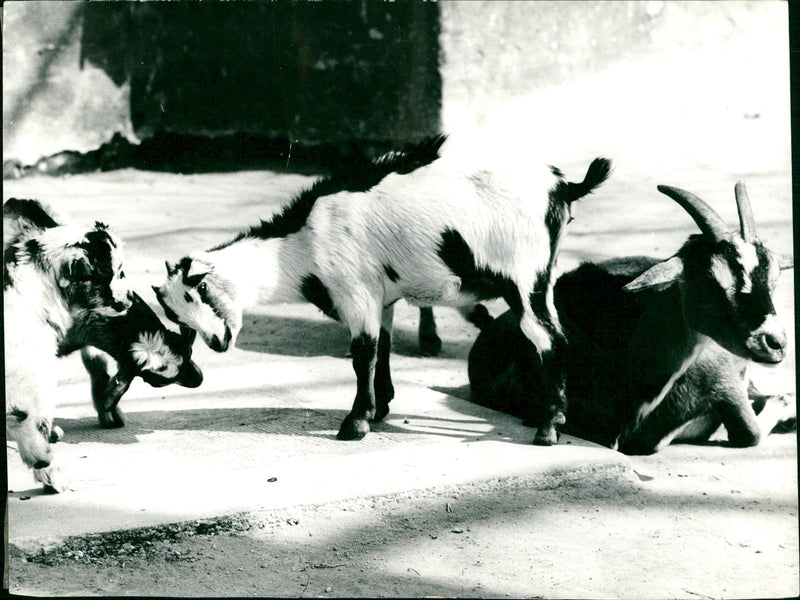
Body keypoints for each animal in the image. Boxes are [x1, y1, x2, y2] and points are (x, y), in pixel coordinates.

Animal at [153, 135, 611, 443]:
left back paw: (549, 426)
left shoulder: (355, 293)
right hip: (538, 277)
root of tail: (563, 186)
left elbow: (362, 354)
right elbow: (383, 349)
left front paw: (355, 423)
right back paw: (541, 415)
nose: (217, 342)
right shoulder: (381, 296)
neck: (300, 246)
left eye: (199, 289)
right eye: (175, 314)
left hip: (525, 276)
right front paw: (382, 408)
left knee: (550, 341)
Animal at [468, 182, 794, 453]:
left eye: (774, 280)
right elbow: (752, 432)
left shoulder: (726, 384)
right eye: (709, 281)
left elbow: (752, 431)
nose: (774, 343)